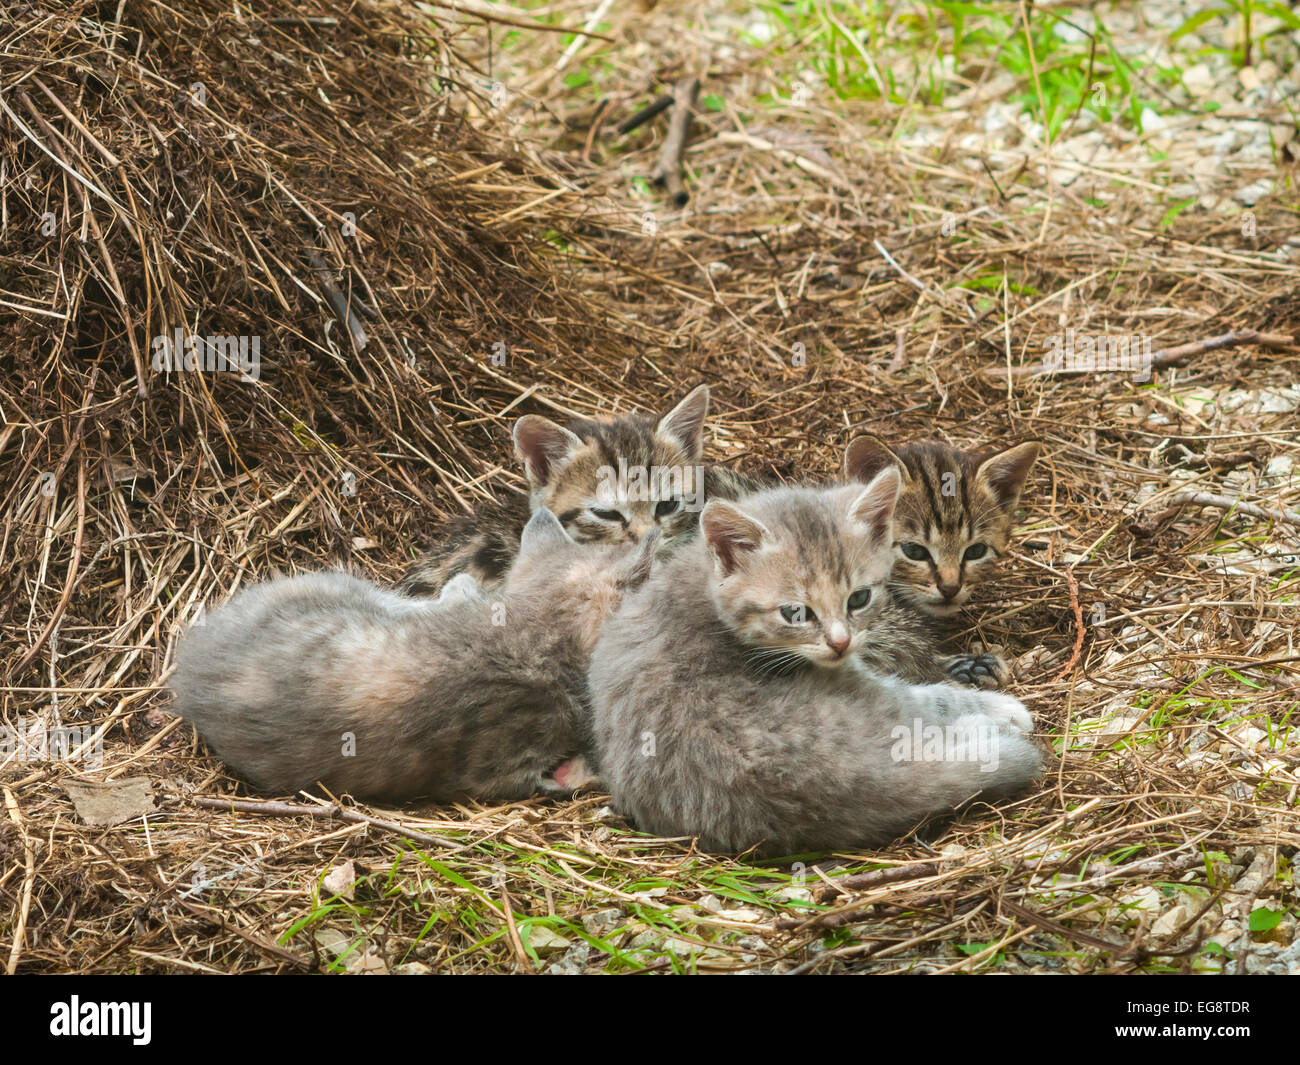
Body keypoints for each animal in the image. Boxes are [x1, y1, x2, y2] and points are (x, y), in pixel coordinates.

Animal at [590, 465, 1045, 858]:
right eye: (795, 613)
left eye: (859, 598)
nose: (840, 643)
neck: (703, 583)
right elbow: (939, 697)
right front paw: (1004, 707)